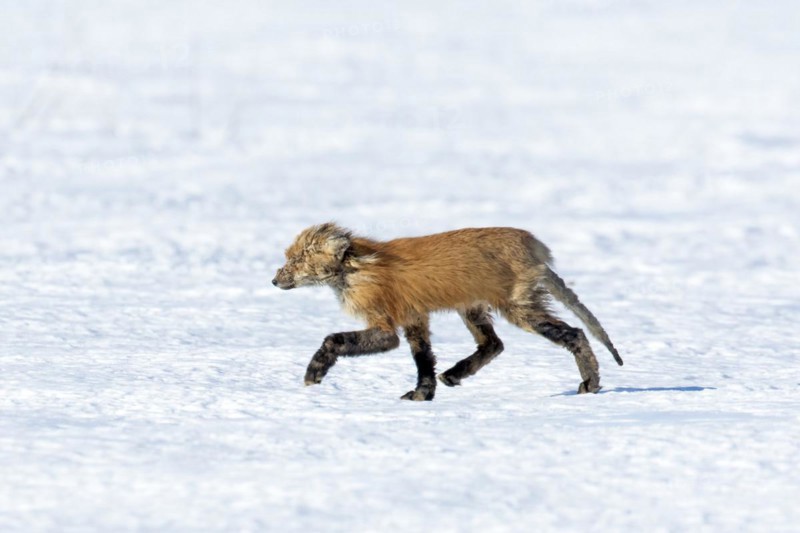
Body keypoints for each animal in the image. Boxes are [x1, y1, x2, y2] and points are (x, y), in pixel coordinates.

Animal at [272, 222, 623, 401]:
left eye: (298, 260)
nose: (275, 280)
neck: (359, 268)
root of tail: (534, 246)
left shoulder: (386, 326)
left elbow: (333, 340)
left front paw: (314, 373)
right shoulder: (414, 317)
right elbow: (424, 361)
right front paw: (424, 394)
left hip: (517, 311)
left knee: (575, 333)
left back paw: (590, 384)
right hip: (473, 309)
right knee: (494, 345)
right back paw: (456, 373)